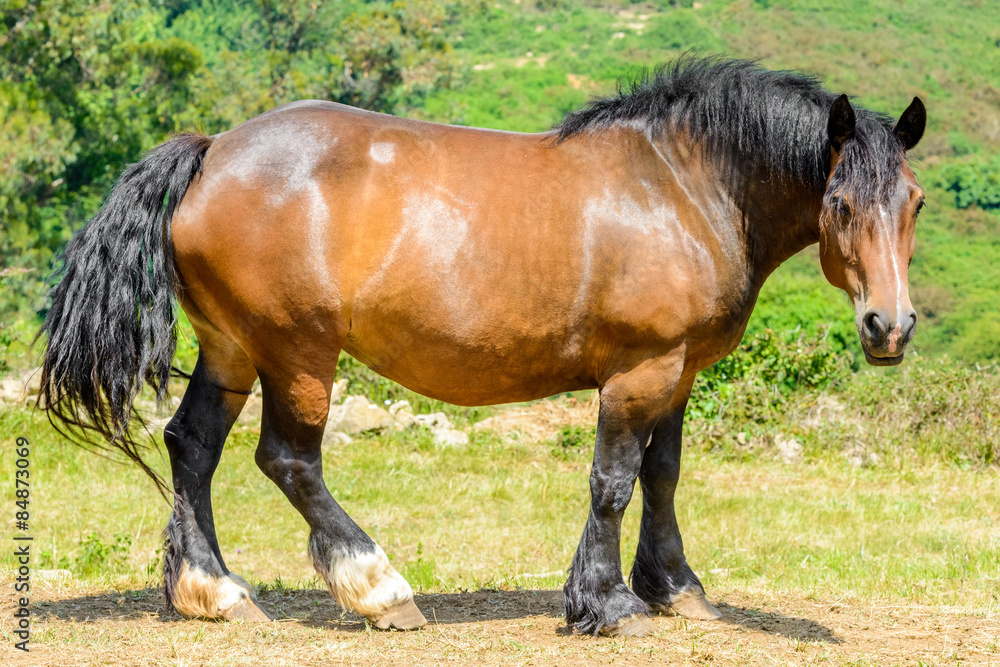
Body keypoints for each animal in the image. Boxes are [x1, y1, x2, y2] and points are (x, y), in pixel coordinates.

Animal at [41, 58, 928, 636]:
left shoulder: (678, 372)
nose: (889, 327)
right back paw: (379, 588)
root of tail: (212, 150)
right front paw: (606, 603)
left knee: (191, 445)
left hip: (230, 347)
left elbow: (663, 475)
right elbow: (613, 481)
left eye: (913, 200)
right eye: (840, 203)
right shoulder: (638, 371)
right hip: (297, 353)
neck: (679, 185)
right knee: (288, 460)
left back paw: (215, 591)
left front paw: (674, 587)